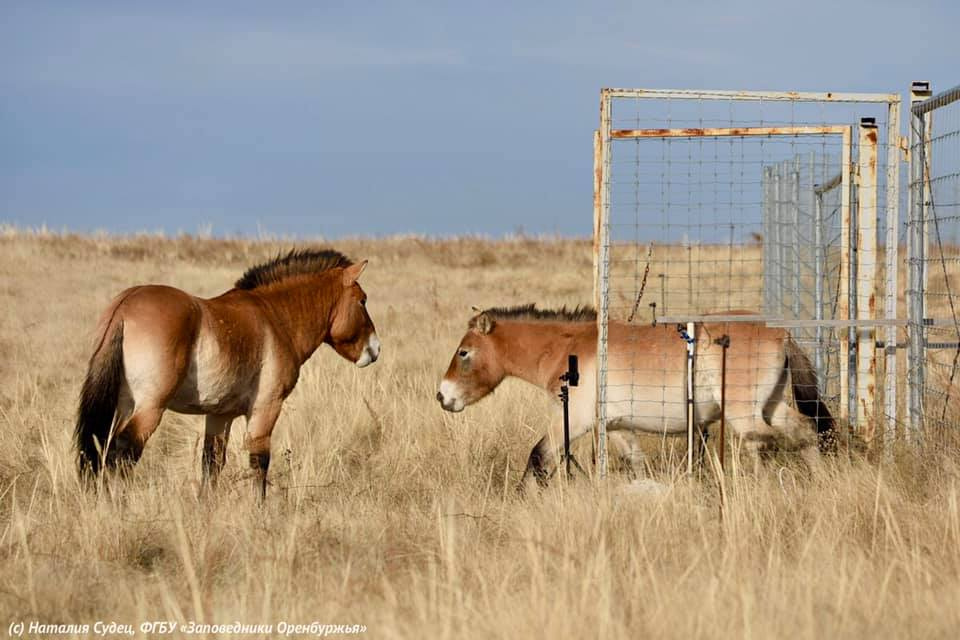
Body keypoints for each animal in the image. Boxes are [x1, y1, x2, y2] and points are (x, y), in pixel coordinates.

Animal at [73, 248, 380, 498]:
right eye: (362, 301)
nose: (375, 348)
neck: (275, 317)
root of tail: (125, 304)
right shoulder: (265, 409)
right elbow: (259, 463)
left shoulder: (220, 416)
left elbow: (212, 465)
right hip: (150, 409)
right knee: (121, 453)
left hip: (125, 406)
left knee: (104, 450)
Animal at [436, 304, 832, 490]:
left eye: (464, 353)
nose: (442, 396)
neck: (571, 350)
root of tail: (782, 333)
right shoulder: (616, 428)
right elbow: (636, 463)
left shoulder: (574, 421)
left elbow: (539, 455)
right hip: (772, 405)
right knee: (802, 433)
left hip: (743, 413)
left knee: (760, 442)